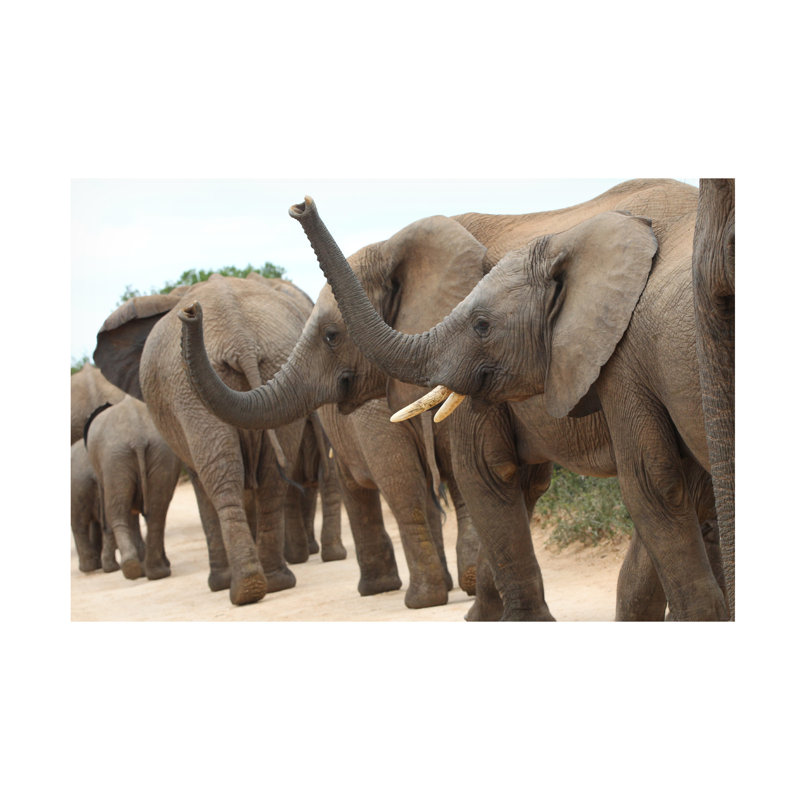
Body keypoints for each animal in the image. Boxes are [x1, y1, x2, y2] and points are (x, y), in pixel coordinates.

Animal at [84, 396, 182, 580]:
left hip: (115, 458)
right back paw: (157, 572)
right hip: (159, 453)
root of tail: (138, 438)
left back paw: (132, 569)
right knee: (157, 510)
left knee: (118, 511)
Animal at [279, 181, 730, 621]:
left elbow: (486, 473)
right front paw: (482, 614)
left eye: (331, 336)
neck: (395, 243)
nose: (299, 205)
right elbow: (519, 486)